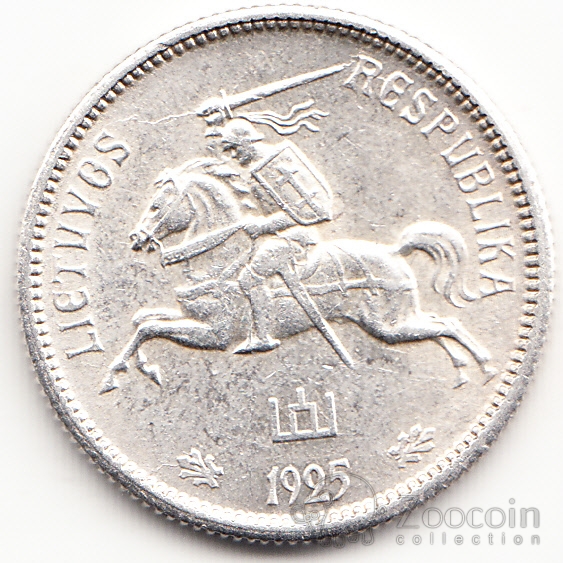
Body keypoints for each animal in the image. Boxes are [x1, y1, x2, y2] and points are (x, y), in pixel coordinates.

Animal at [101, 161, 497, 393]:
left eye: (156, 206)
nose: (135, 238)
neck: (219, 261)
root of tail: (394, 253)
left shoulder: (215, 334)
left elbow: (148, 329)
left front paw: (113, 375)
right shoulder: (190, 318)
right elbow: (143, 321)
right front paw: (145, 369)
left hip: (389, 324)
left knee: (449, 324)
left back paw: (486, 366)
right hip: (399, 321)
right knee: (439, 325)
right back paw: (463, 370)